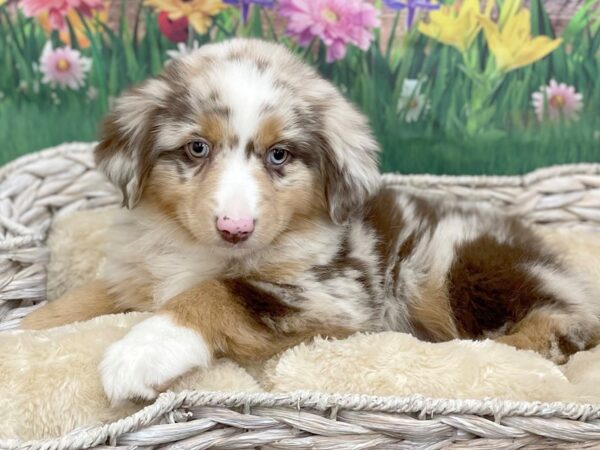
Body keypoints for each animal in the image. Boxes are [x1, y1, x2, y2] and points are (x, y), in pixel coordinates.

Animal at [23, 39, 600, 404]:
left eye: (279, 155)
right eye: (196, 148)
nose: (235, 228)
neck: (204, 251)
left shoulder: (334, 296)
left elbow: (218, 293)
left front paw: (140, 351)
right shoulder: (137, 272)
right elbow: (85, 298)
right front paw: (27, 329)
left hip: (455, 267)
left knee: (559, 330)